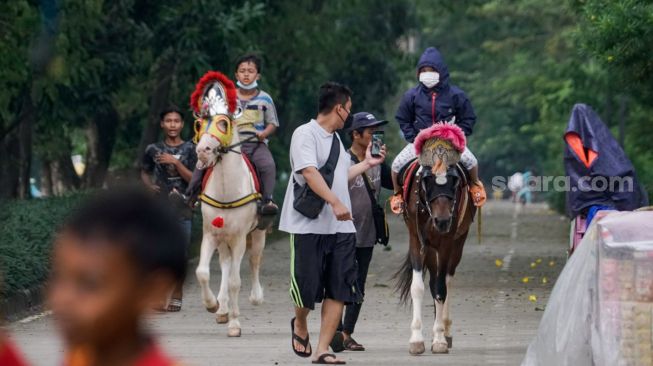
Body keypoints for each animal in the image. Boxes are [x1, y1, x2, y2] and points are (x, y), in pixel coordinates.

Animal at [394, 141, 476, 354]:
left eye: (454, 180)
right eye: (426, 180)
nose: (442, 220)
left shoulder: (447, 241)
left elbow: (440, 288)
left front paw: (439, 339)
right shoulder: (416, 239)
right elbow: (418, 287)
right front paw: (416, 339)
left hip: (458, 242)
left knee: (446, 279)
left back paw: (445, 331)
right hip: (430, 248)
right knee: (432, 280)